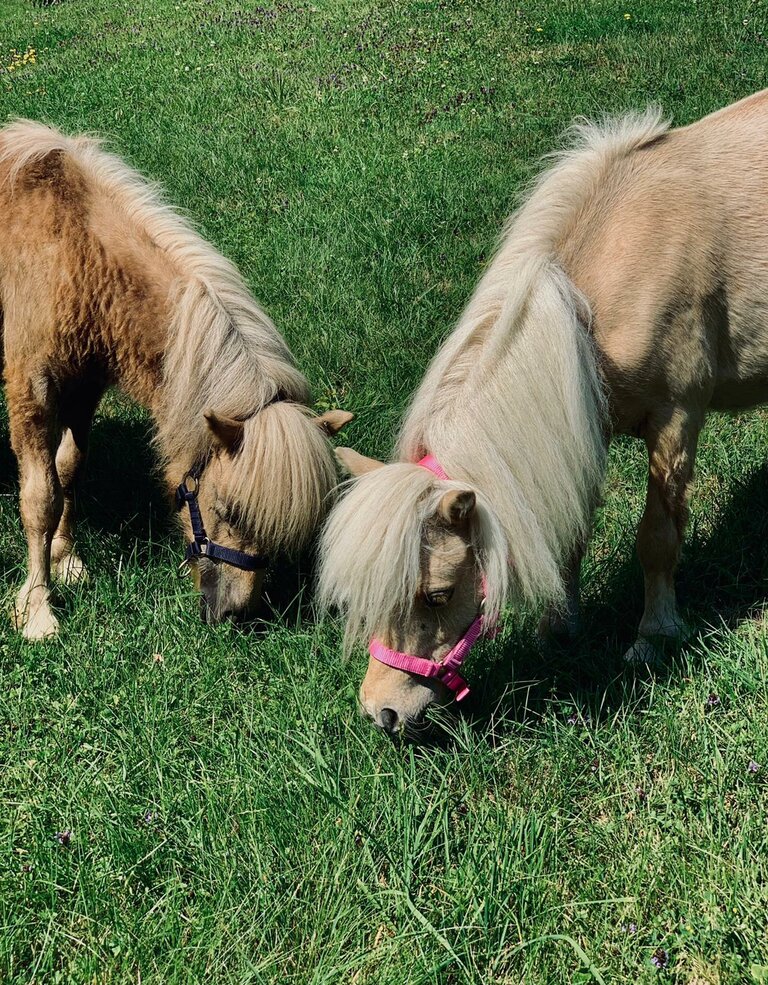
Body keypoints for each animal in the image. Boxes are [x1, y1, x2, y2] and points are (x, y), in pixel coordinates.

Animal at [318, 90, 768, 732]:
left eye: (437, 595)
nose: (383, 713)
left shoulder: (676, 420)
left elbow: (657, 535)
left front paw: (653, 635)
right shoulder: (580, 424)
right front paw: (561, 629)